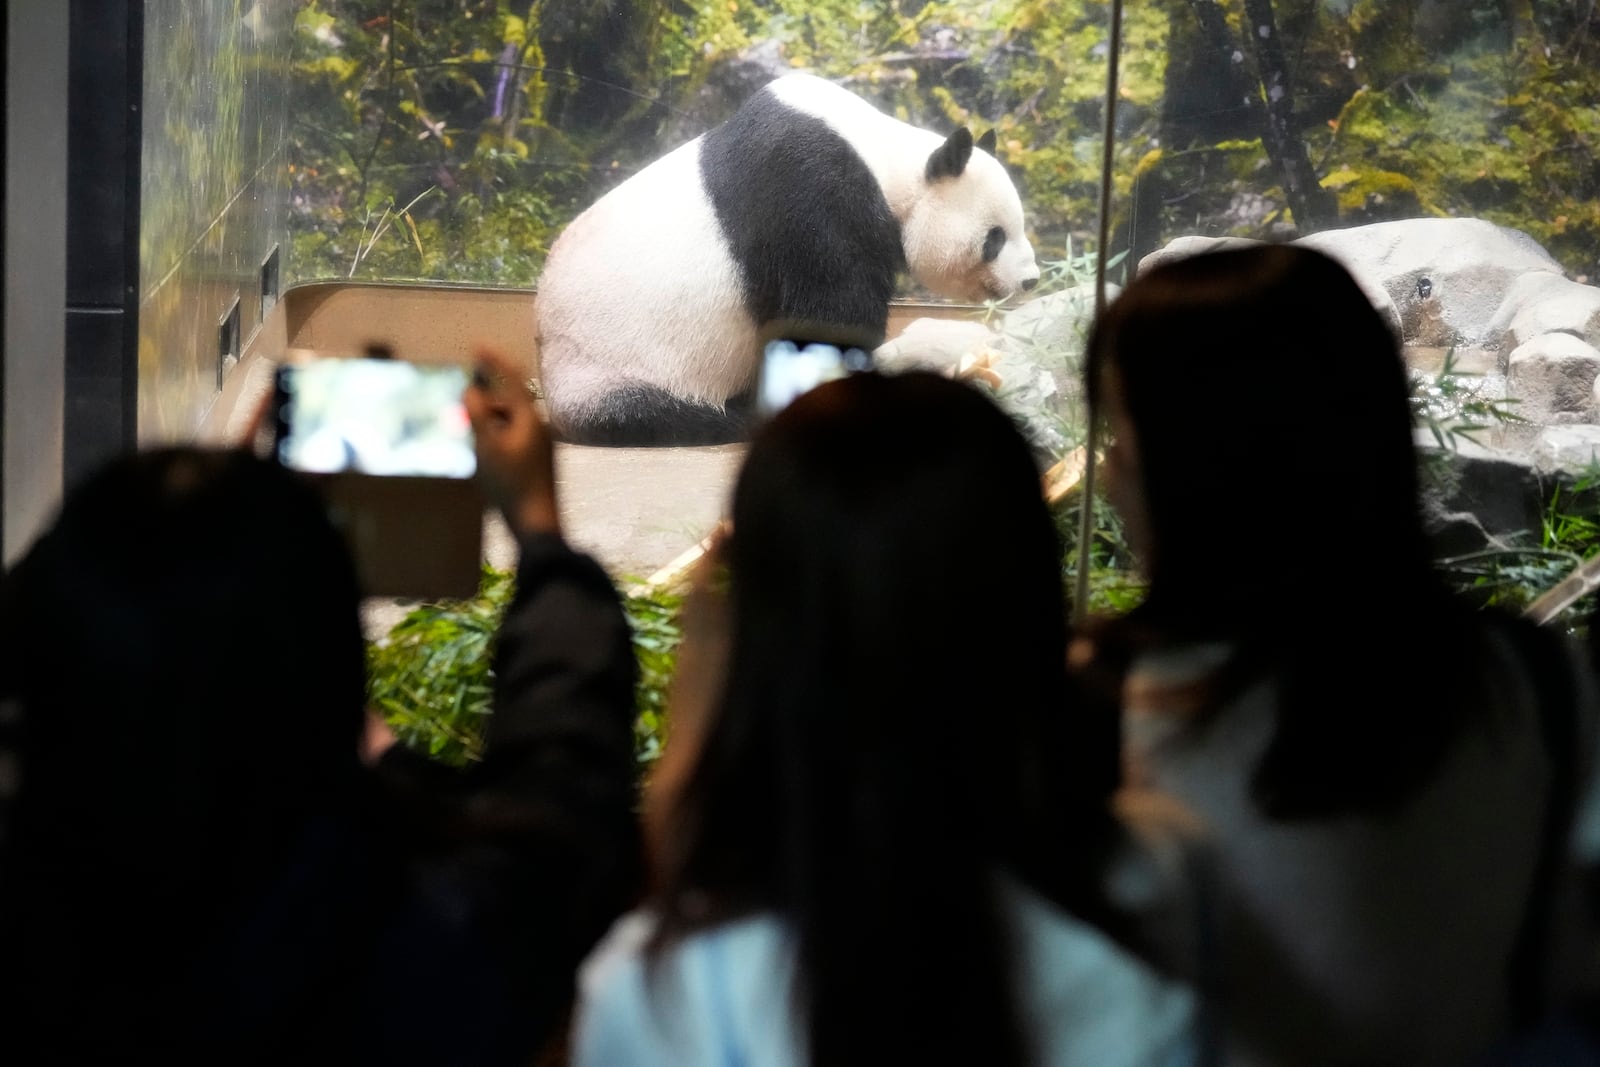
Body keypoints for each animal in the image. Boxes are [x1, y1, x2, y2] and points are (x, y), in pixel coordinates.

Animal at [531, 73, 1043, 444]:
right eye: (995, 238)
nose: (1031, 281)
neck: (885, 159)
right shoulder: (809, 190)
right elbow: (827, 314)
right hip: (614, 364)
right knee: (662, 415)